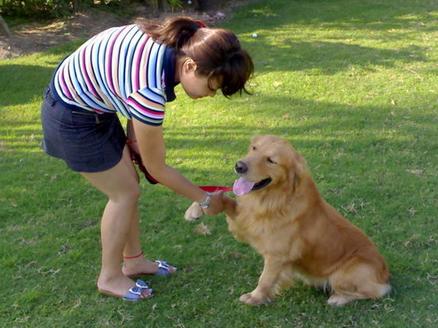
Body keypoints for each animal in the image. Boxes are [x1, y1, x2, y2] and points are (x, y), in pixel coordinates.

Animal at [185, 135, 390, 304]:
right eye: (254, 148)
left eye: (271, 160)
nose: (239, 166)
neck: (274, 198)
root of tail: (385, 273)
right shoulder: (245, 223)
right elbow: (225, 199)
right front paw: (196, 208)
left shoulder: (277, 254)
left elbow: (265, 279)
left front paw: (255, 297)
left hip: (343, 274)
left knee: (377, 292)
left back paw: (339, 298)